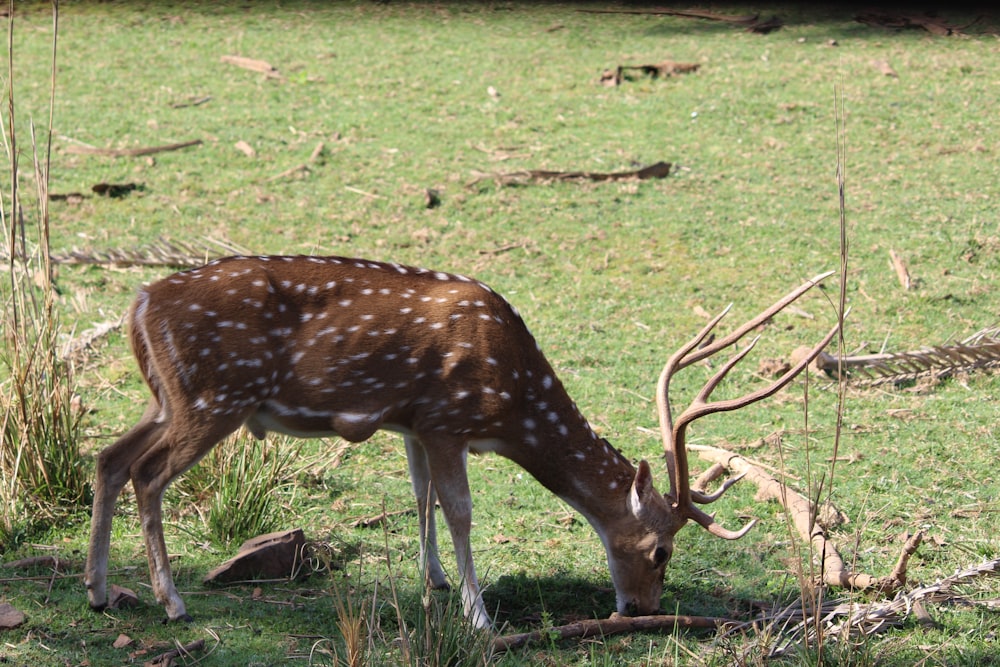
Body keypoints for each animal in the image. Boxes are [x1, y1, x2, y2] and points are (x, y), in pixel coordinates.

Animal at [86, 253, 840, 628]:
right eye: (661, 549)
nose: (644, 608)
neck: (512, 402)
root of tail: (138, 305)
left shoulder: (412, 421)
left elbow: (420, 499)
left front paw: (436, 585)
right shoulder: (448, 418)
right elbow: (460, 511)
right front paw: (479, 616)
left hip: (166, 396)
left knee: (108, 457)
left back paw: (99, 591)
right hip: (215, 398)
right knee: (148, 474)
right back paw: (173, 602)